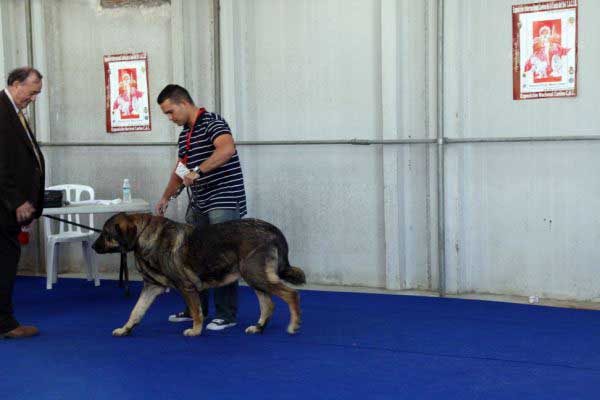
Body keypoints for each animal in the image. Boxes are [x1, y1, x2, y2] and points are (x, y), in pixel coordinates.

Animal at [91, 212, 308, 338]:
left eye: (106, 234)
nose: (93, 246)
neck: (144, 235)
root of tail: (273, 230)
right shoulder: (151, 287)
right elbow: (136, 311)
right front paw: (125, 329)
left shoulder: (186, 287)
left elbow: (197, 312)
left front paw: (195, 331)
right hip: (255, 278)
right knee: (268, 305)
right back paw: (259, 327)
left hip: (256, 275)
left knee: (291, 294)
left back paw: (294, 325)